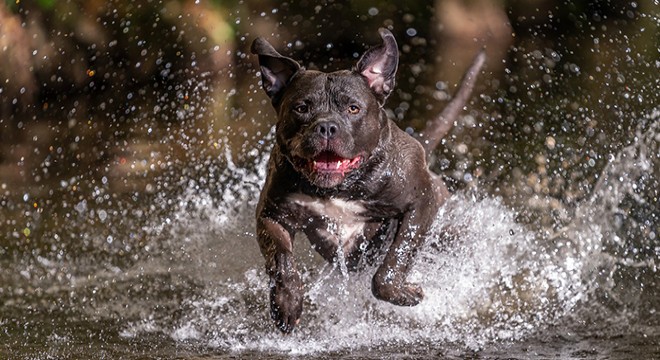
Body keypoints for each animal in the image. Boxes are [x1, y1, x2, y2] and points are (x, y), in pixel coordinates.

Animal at [250, 28, 482, 332]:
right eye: (301, 108)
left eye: (353, 108)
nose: (326, 126)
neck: (339, 188)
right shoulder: (272, 215)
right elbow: (281, 260)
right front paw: (287, 303)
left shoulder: (420, 203)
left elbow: (396, 259)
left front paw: (405, 293)